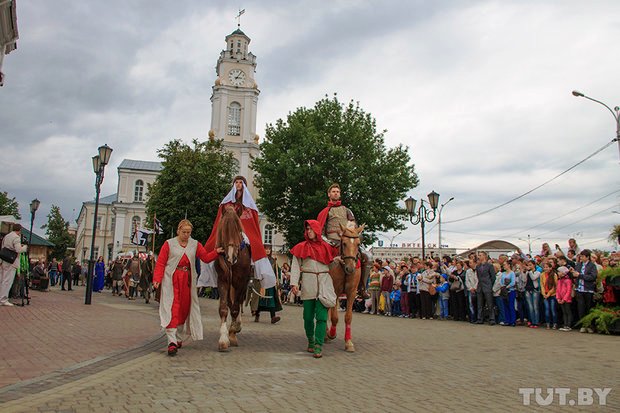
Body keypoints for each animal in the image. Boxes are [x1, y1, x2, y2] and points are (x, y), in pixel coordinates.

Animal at [214, 208, 251, 350]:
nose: (231, 256)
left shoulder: (241, 282)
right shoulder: (223, 281)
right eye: (224, 228)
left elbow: (235, 308)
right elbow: (224, 308)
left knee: (239, 302)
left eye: (238, 229)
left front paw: (233, 332)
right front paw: (224, 339)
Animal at [330, 222, 364, 350]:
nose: (350, 268)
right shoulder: (334, 292)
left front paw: (348, 342)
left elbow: (348, 316)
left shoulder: (351, 293)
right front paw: (331, 334)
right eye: (344, 243)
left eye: (358, 244)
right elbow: (334, 317)